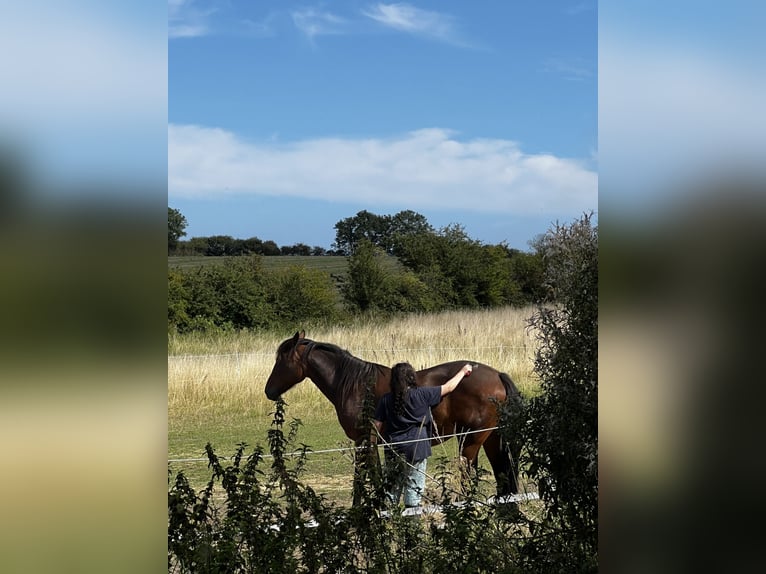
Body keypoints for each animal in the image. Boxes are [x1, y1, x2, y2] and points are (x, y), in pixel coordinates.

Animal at [264, 330, 520, 498]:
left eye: (281, 360)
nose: (269, 391)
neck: (356, 385)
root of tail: (497, 375)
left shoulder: (365, 440)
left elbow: (366, 477)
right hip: (491, 440)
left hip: (469, 442)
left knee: (468, 478)